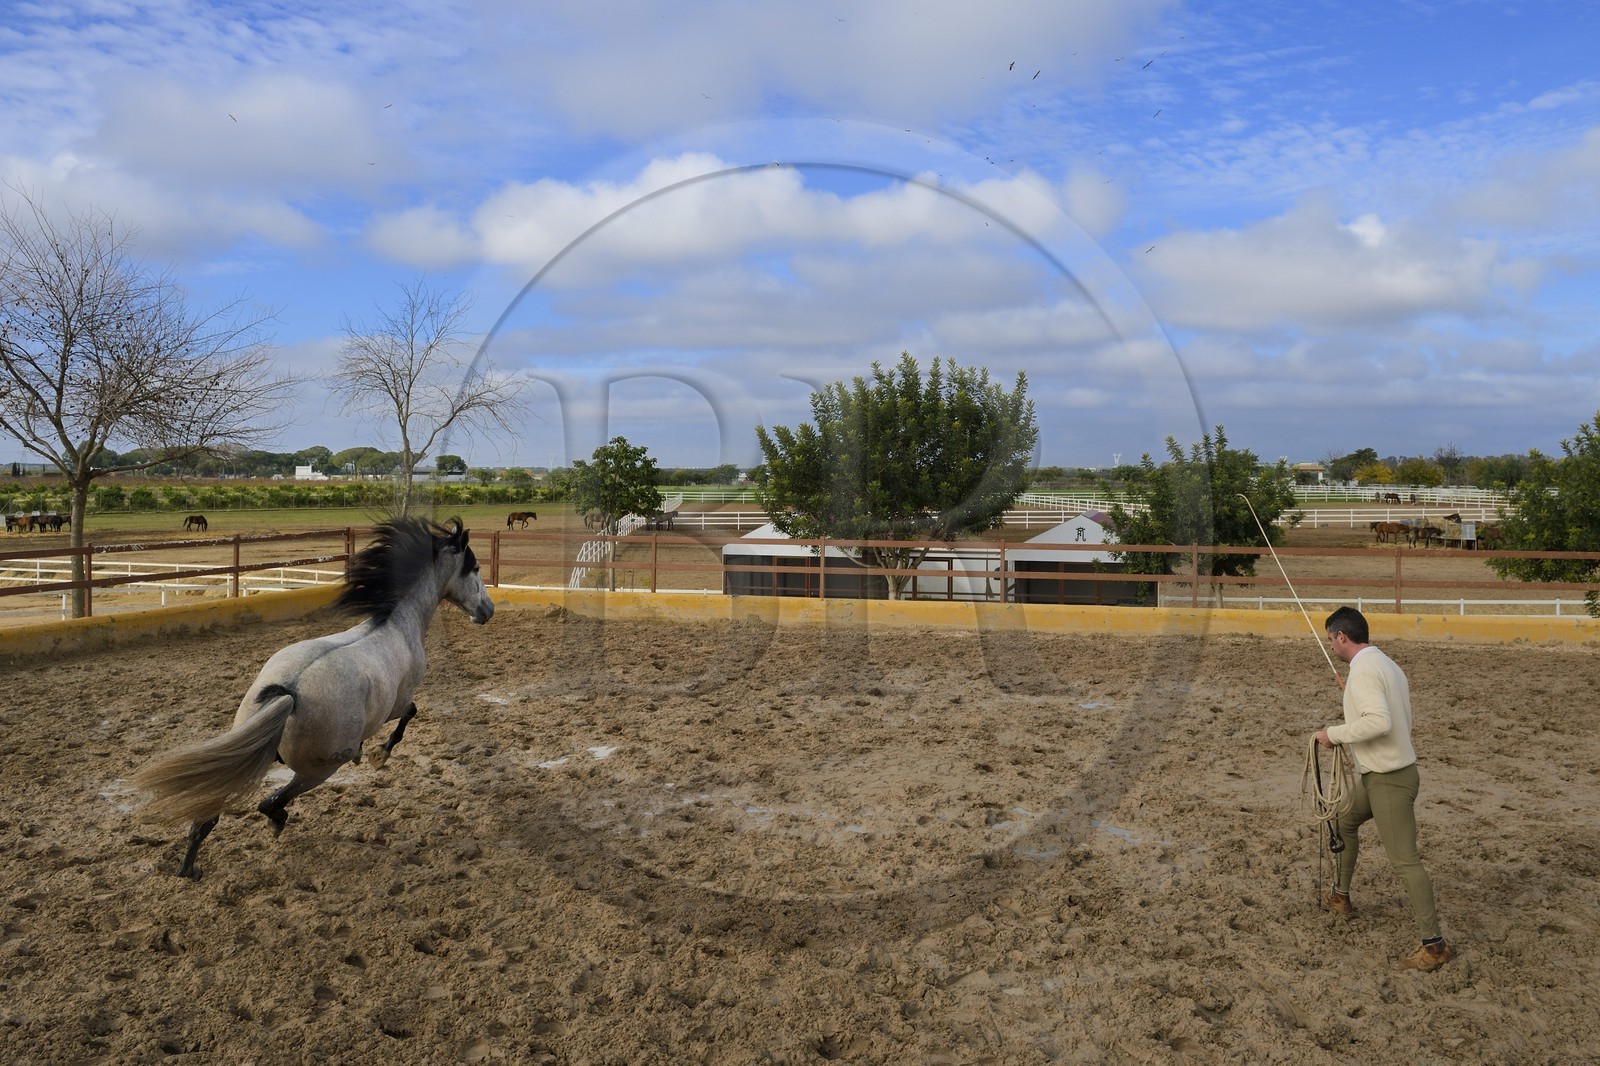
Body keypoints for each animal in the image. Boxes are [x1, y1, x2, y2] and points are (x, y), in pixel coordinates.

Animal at [131, 516, 495, 879]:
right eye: (475, 568)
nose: (488, 610)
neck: (397, 626)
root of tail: (288, 692)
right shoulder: (398, 704)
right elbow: (409, 716)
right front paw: (378, 755)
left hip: (248, 758)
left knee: (207, 818)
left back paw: (188, 869)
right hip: (318, 770)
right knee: (270, 803)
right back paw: (274, 824)